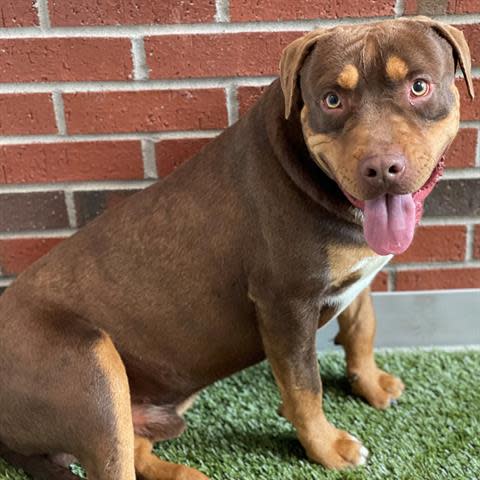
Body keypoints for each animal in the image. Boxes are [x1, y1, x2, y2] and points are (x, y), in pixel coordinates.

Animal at [0, 15, 472, 480]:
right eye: (332, 99)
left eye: (418, 86)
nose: (381, 167)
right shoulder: (285, 305)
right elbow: (305, 387)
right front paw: (327, 448)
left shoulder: (357, 274)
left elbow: (362, 327)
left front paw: (370, 383)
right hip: (94, 367)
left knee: (135, 448)